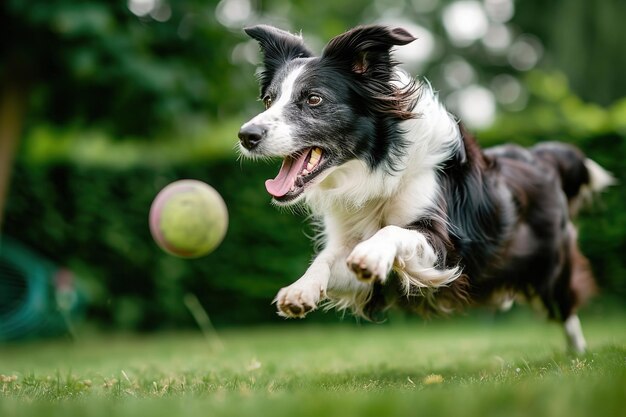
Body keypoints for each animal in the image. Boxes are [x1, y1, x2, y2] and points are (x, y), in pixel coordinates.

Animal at [236, 25, 612, 352]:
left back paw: (578, 352)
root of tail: (539, 156)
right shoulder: (364, 268)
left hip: (552, 266)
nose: (246, 135)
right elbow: (327, 258)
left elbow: (392, 232)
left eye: (313, 99)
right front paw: (300, 290)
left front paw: (370, 253)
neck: (375, 169)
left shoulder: (445, 248)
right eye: (268, 100)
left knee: (566, 306)